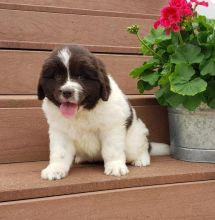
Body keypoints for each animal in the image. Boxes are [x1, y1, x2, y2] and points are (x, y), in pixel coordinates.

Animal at [37, 45, 170, 180]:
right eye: (58, 76)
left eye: (81, 77)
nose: (67, 92)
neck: (82, 112)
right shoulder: (60, 131)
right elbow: (60, 152)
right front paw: (55, 169)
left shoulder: (111, 127)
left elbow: (112, 149)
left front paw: (115, 166)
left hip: (133, 141)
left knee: (143, 147)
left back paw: (141, 159)